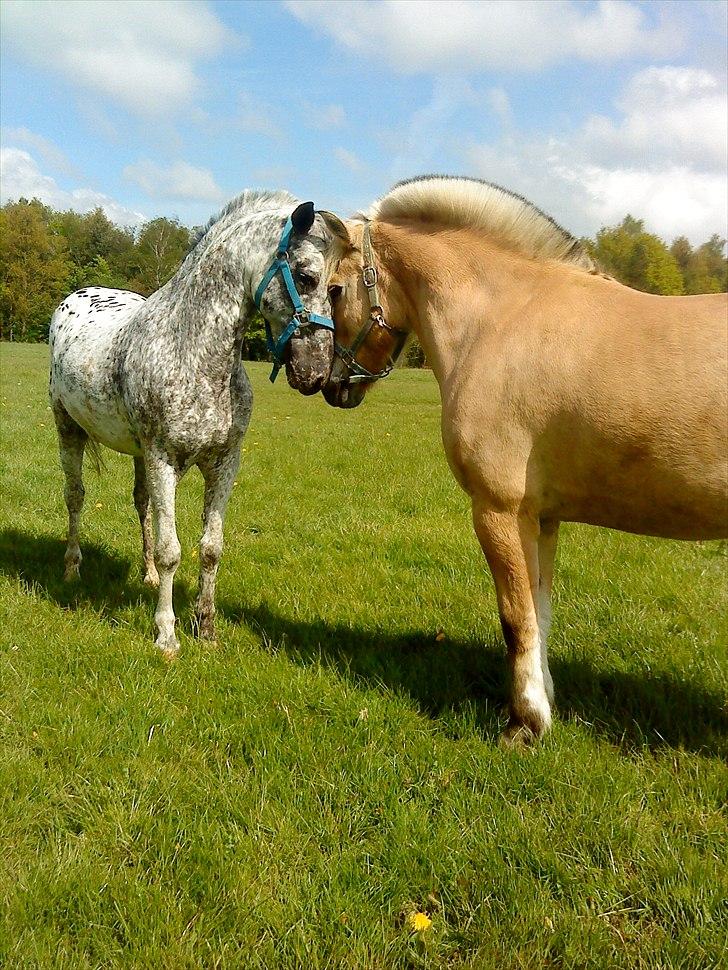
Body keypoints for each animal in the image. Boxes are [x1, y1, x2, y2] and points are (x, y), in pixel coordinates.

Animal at [50, 189, 346, 656]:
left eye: (335, 288)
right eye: (305, 277)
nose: (316, 373)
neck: (192, 350)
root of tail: (77, 296)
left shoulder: (223, 464)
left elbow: (210, 548)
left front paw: (206, 628)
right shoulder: (163, 460)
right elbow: (172, 550)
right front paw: (166, 635)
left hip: (138, 454)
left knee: (141, 503)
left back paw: (148, 575)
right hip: (69, 430)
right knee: (75, 498)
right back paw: (72, 569)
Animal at [318, 176, 728, 740]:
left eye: (336, 290)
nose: (331, 384)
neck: (501, 318)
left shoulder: (499, 510)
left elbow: (516, 618)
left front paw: (526, 723)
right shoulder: (542, 517)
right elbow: (540, 611)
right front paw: (545, 701)